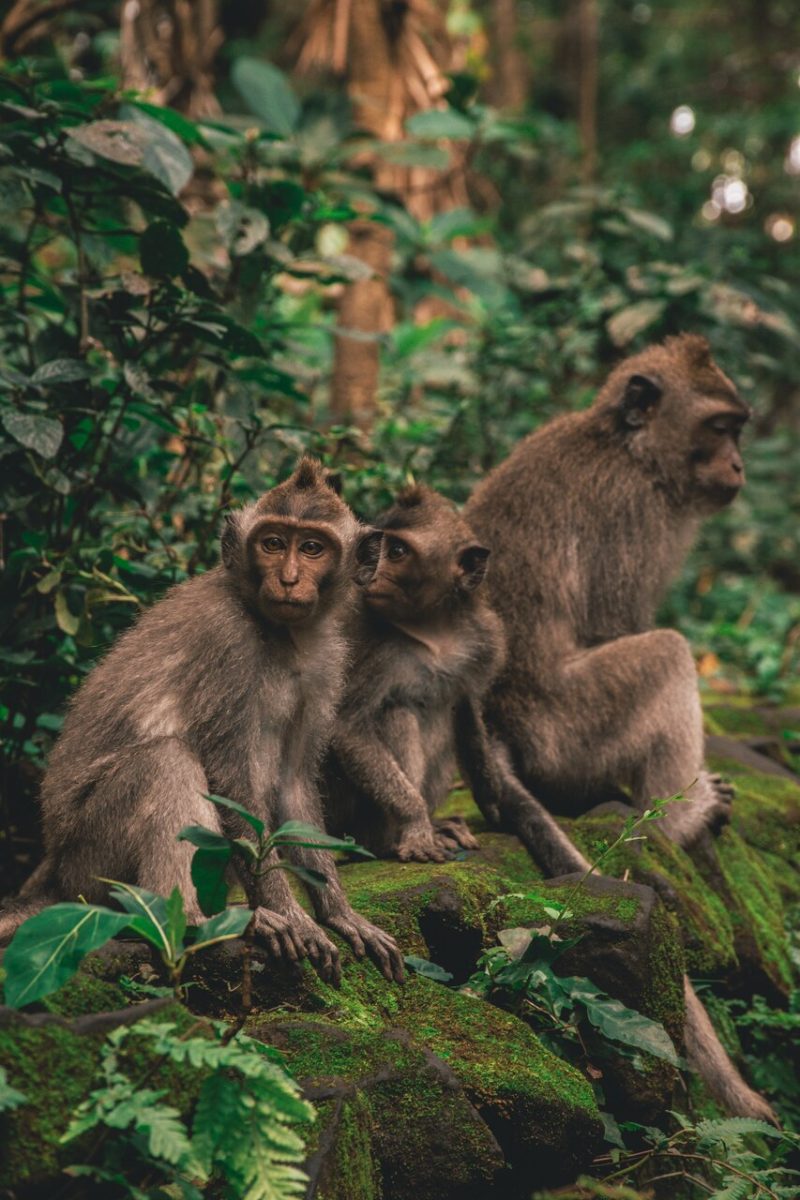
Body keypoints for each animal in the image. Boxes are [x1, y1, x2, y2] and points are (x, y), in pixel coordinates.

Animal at [0, 456, 402, 984]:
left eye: (312, 548)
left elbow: (293, 785)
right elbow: (232, 784)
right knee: (165, 762)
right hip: (90, 860)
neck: (282, 634)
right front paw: (290, 913)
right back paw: (194, 920)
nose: (289, 578)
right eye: (273, 543)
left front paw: (339, 913)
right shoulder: (228, 645)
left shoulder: (327, 664)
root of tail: (55, 874)